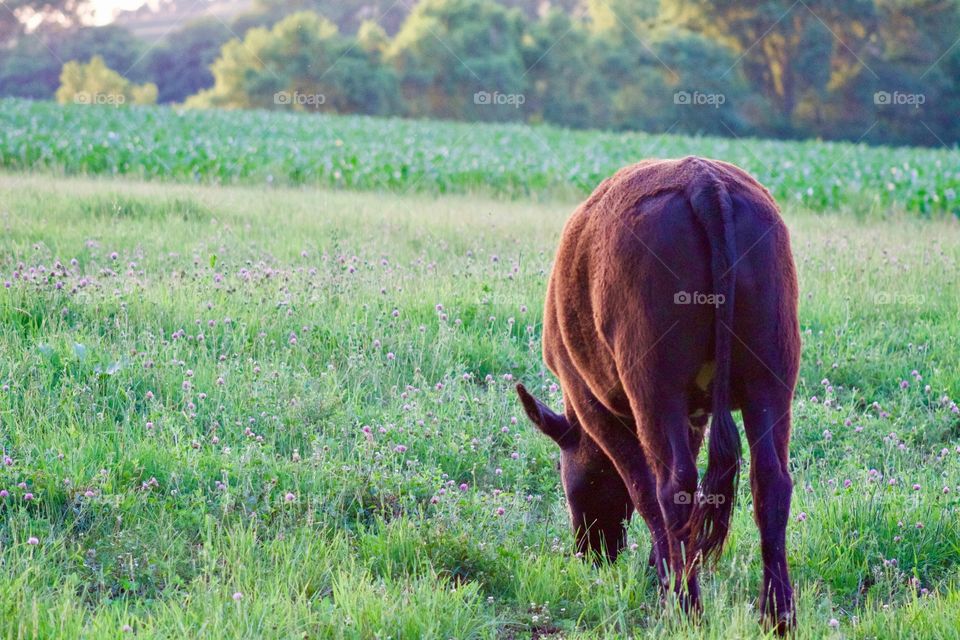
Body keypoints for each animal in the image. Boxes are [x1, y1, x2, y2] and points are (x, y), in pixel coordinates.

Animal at [520, 156, 800, 636]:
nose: (592, 553)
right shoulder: (694, 412)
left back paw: (685, 607)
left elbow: (642, 488)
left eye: (566, 474)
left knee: (672, 488)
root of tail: (705, 181)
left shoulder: (594, 403)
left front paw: (662, 575)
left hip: (653, 385)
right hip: (772, 376)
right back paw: (777, 616)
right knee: (770, 481)